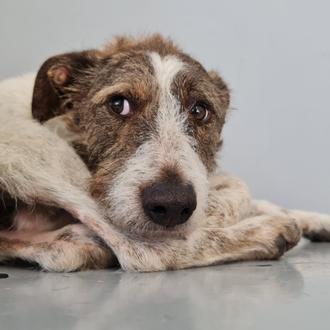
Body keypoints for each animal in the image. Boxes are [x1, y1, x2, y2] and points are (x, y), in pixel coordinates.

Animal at [0, 33, 330, 272]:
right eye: (118, 104)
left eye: (199, 110)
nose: (172, 204)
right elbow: (238, 191)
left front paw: (314, 218)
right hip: (45, 158)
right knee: (142, 253)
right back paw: (266, 232)